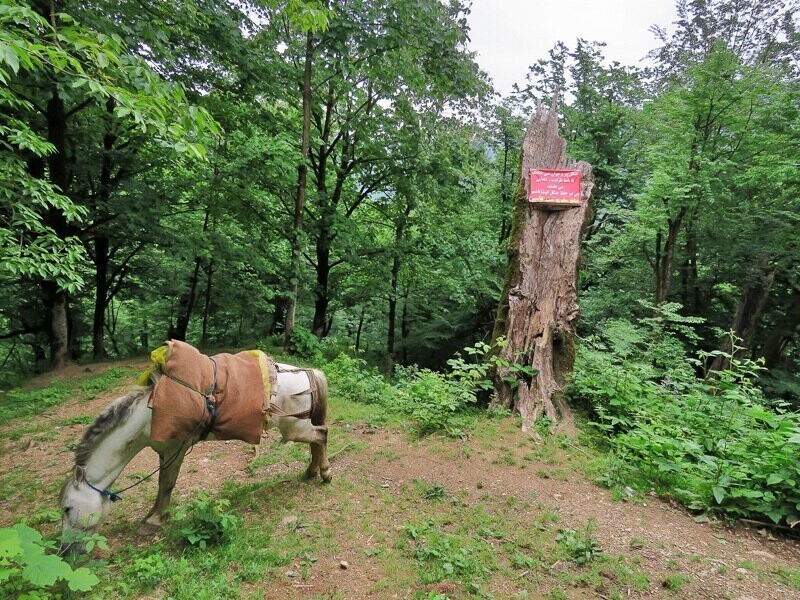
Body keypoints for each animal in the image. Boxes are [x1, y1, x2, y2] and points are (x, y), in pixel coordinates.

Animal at [58, 364, 328, 552]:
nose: (65, 550)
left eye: (67, 508)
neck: (150, 413)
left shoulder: (175, 449)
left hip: (293, 428)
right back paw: (311, 471)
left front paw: (155, 520)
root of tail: (308, 373)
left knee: (322, 434)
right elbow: (162, 485)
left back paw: (324, 473)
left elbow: (167, 483)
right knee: (317, 438)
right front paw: (154, 514)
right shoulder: (163, 451)